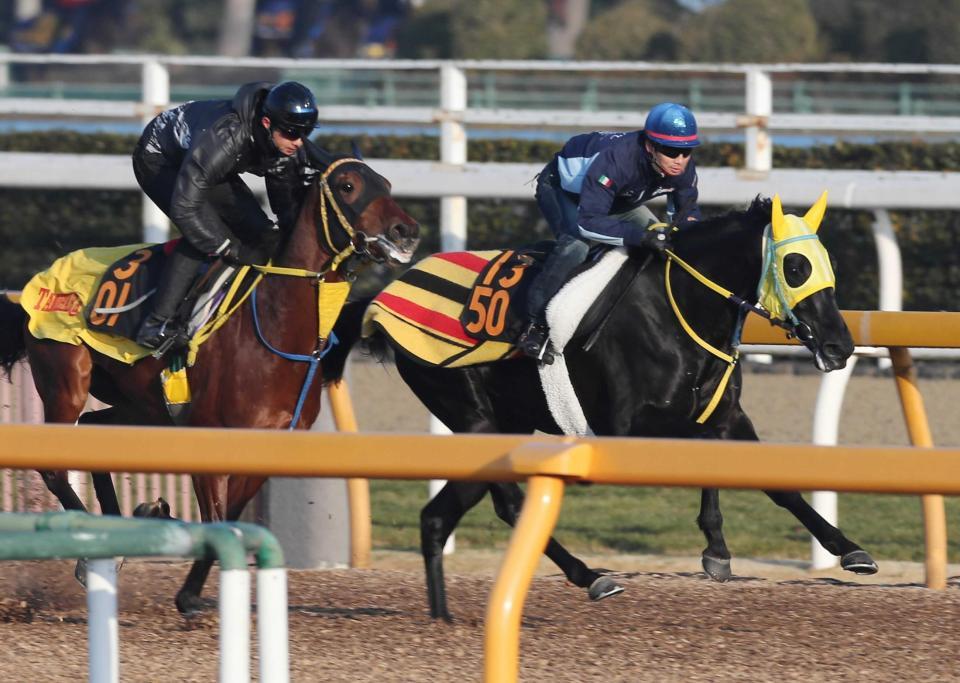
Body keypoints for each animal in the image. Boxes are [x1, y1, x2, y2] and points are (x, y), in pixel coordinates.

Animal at [0, 154, 420, 616]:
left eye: (387, 183)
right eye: (347, 185)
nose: (406, 232)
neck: (274, 328)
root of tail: (35, 286)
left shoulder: (265, 447)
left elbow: (230, 519)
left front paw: (186, 582)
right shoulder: (208, 438)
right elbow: (218, 521)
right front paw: (189, 591)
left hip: (144, 406)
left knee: (94, 432)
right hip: (66, 378)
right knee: (55, 466)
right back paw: (93, 547)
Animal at [366, 192, 876, 620]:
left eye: (828, 264)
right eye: (795, 267)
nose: (840, 346)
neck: (679, 307)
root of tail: (385, 296)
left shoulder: (726, 414)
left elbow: (776, 483)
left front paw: (847, 549)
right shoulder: (628, 427)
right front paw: (717, 545)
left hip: (505, 423)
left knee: (476, 509)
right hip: (471, 413)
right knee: (495, 504)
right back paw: (584, 579)